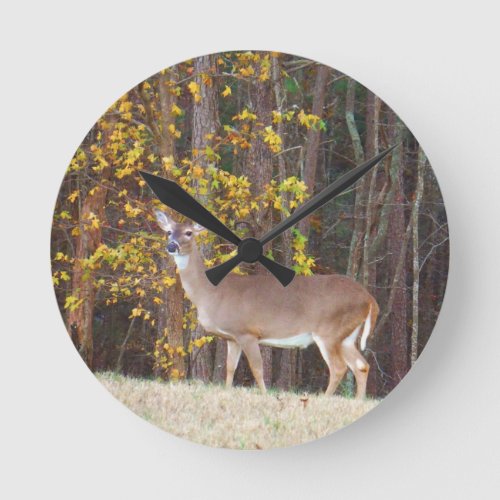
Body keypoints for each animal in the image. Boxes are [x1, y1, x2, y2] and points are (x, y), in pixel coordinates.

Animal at [154, 210, 376, 398]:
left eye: (189, 233)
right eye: (168, 231)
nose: (172, 246)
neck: (211, 293)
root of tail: (369, 299)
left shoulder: (248, 332)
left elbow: (257, 369)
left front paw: (264, 395)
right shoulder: (232, 337)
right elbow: (230, 368)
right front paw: (228, 392)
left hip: (329, 331)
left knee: (339, 368)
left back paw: (324, 399)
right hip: (346, 336)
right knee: (361, 365)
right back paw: (358, 401)